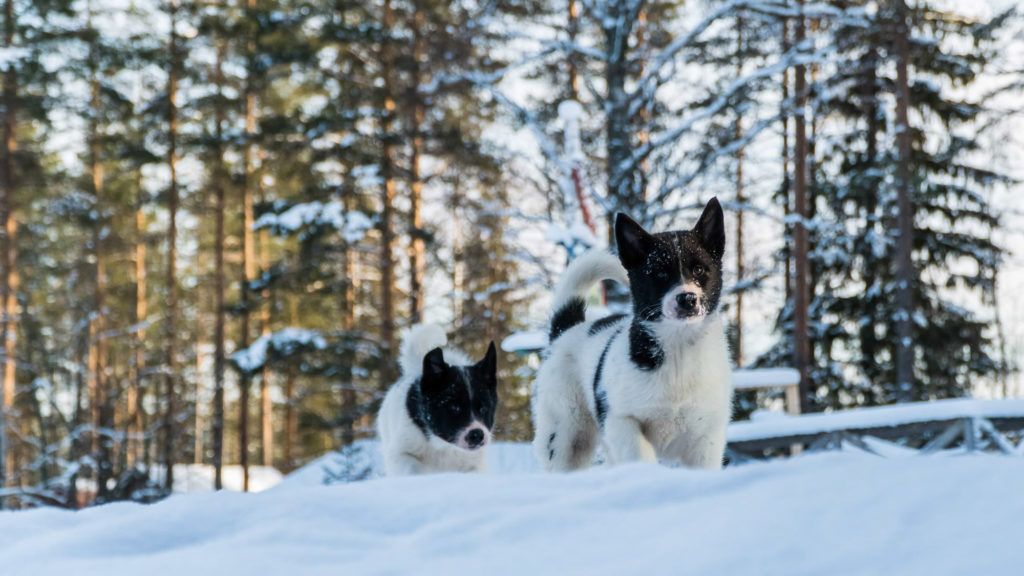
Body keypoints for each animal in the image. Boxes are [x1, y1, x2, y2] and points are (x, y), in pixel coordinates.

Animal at [380, 323, 499, 475]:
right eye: (455, 408)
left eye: (484, 408)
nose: (477, 435)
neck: (444, 446)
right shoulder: (401, 453)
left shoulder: (474, 465)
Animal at [532, 196, 733, 471]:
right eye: (659, 273)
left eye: (700, 270)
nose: (687, 299)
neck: (678, 350)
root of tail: (566, 330)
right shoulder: (621, 420)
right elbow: (641, 456)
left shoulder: (706, 437)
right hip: (566, 433)